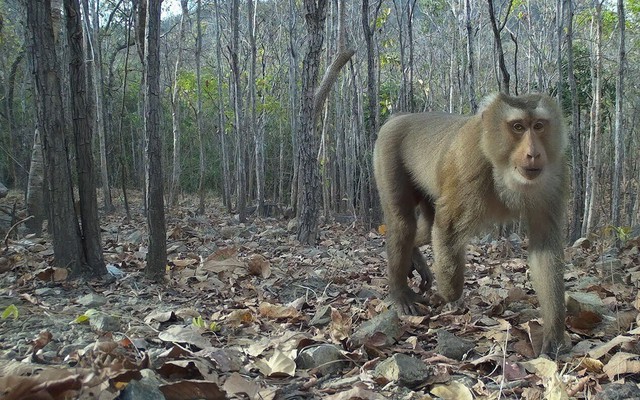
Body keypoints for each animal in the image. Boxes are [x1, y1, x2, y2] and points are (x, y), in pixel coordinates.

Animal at [372, 93, 568, 354]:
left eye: (538, 126)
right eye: (517, 127)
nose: (533, 153)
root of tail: (401, 116)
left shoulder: (554, 176)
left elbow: (544, 246)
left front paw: (554, 334)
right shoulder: (468, 163)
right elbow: (448, 228)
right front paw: (447, 295)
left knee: (425, 225)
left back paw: (414, 255)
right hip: (387, 151)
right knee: (403, 223)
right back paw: (400, 292)